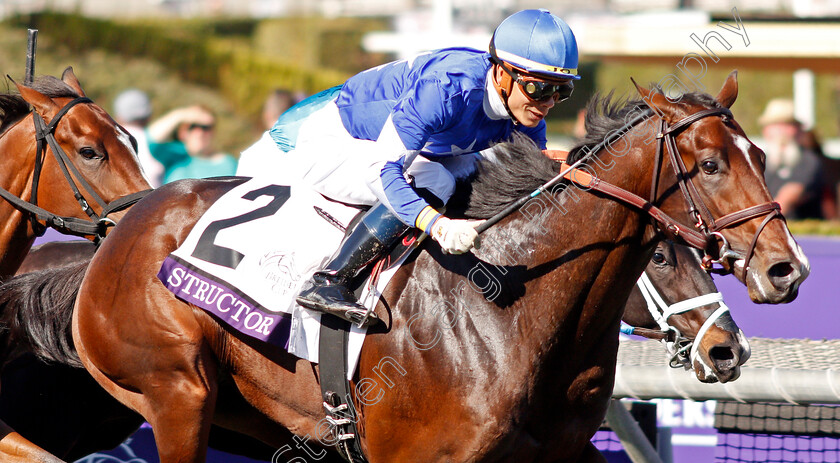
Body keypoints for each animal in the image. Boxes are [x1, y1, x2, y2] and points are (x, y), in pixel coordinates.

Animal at [70, 73, 808, 463]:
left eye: (761, 157)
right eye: (710, 164)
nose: (786, 270)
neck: (510, 305)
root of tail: (126, 220)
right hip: (178, 394)